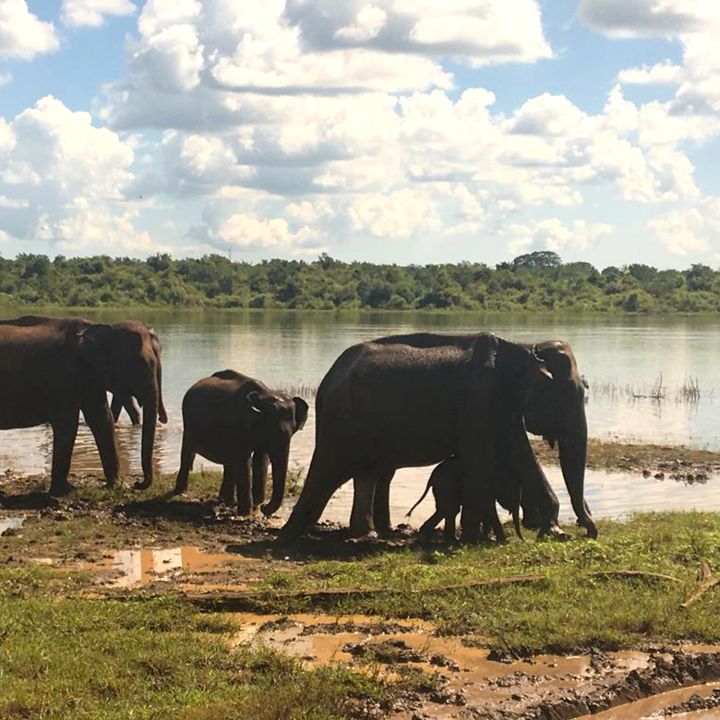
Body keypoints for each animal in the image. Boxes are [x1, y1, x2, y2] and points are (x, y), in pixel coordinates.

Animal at [175, 372, 312, 516]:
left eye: (293, 432)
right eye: (274, 430)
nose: (264, 508)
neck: (265, 394)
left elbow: (260, 460)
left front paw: (255, 505)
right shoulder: (239, 426)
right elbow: (244, 461)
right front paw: (246, 512)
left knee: (228, 464)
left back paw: (226, 501)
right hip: (188, 424)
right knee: (188, 454)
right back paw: (180, 493)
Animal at [278, 330, 564, 544]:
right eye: (559, 394)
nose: (528, 537)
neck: (519, 347)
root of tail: (327, 380)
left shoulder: (500, 404)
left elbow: (518, 449)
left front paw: (553, 531)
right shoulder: (478, 398)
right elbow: (481, 455)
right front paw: (475, 540)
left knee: (361, 472)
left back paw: (364, 534)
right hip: (341, 421)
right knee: (329, 470)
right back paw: (292, 535)